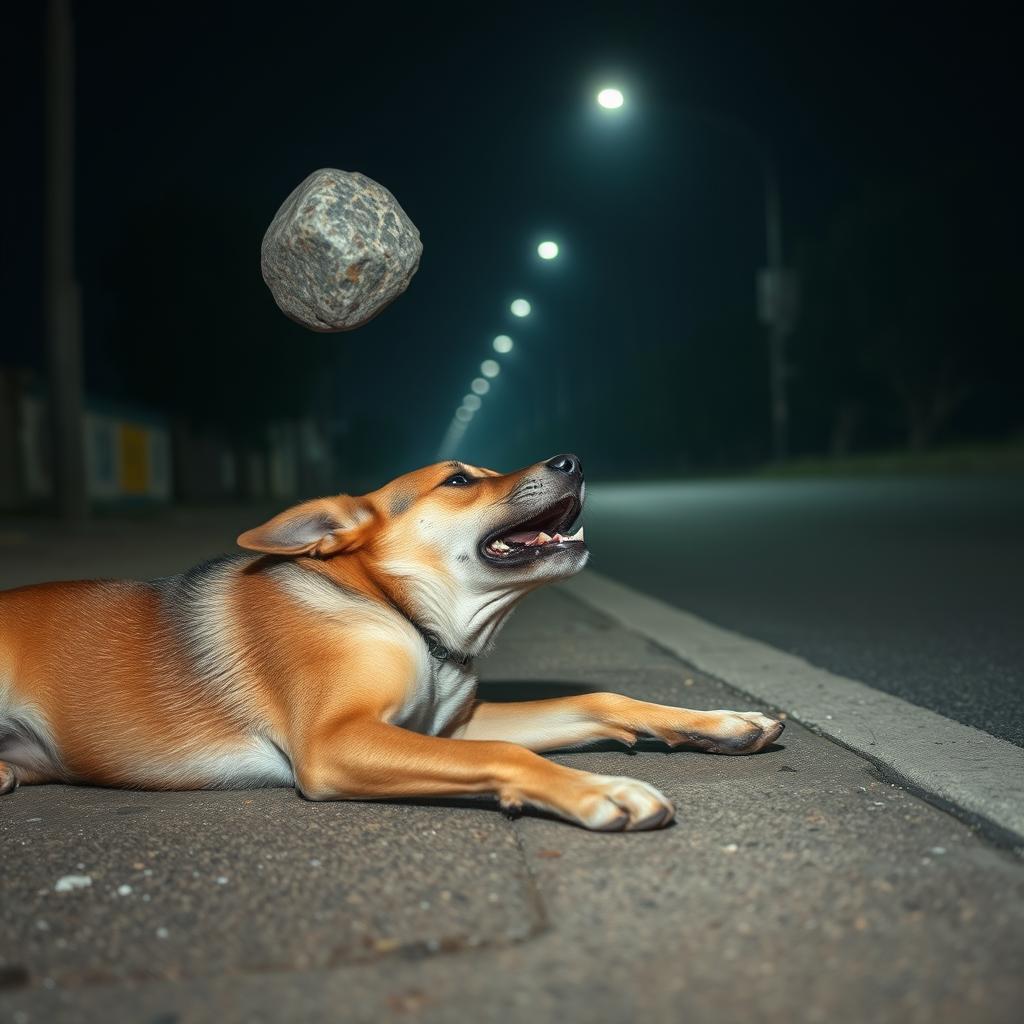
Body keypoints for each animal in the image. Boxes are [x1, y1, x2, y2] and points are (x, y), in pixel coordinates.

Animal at [2, 456, 782, 831]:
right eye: (459, 478)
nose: (573, 460)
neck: (399, 612)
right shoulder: (336, 741)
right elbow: (510, 756)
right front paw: (605, 791)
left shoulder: (453, 726)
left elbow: (599, 696)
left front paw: (721, 722)